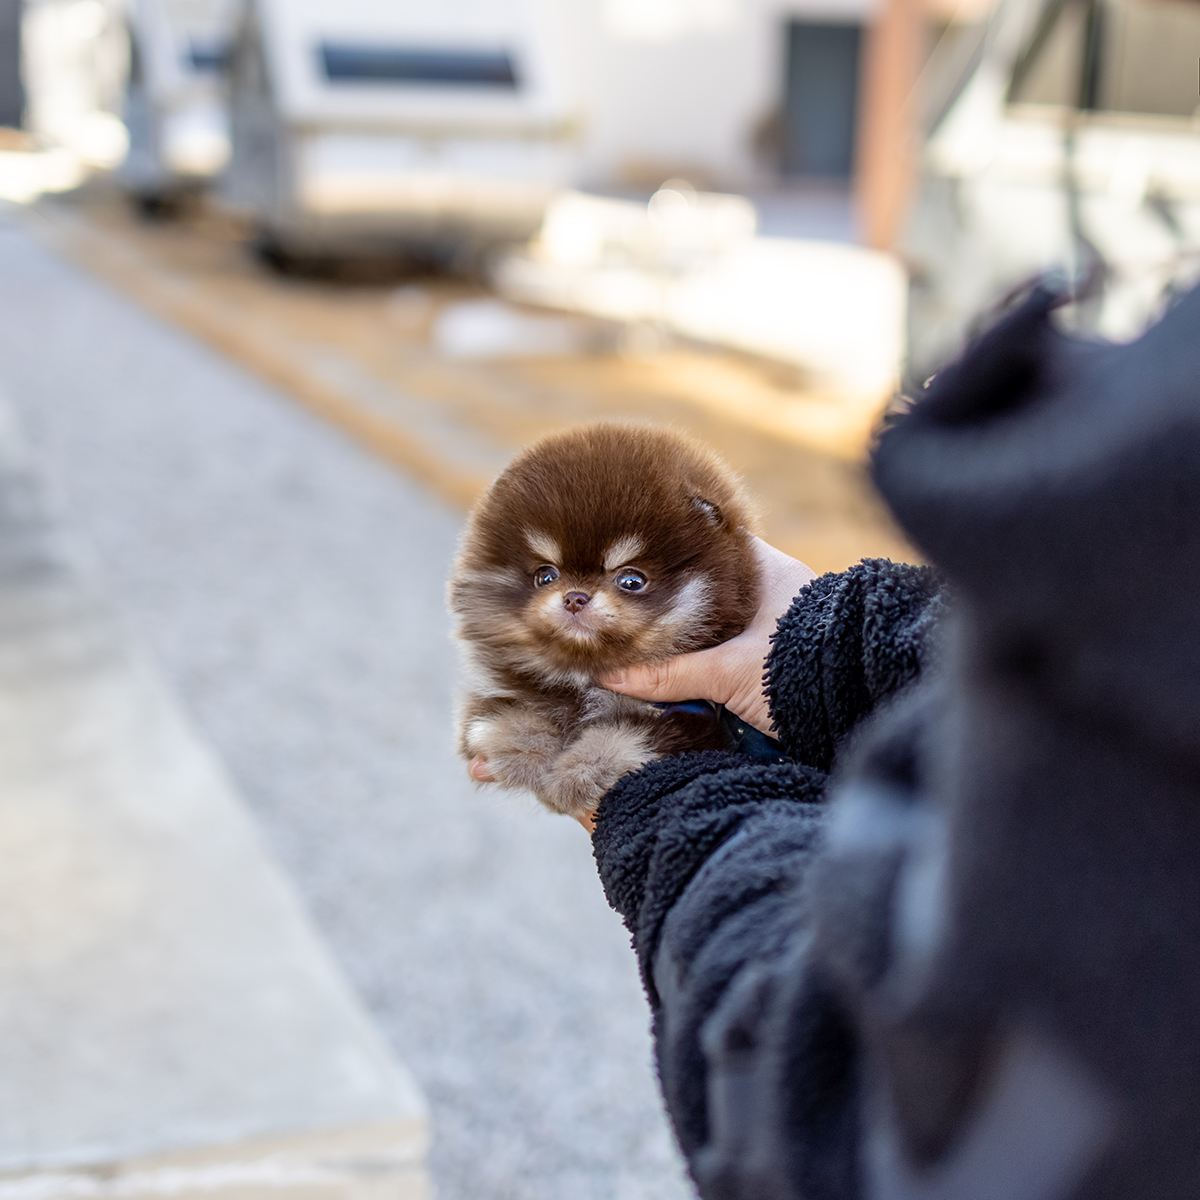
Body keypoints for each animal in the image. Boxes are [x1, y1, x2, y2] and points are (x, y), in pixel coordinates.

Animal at [451, 420, 758, 816]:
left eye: (631, 580)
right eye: (545, 576)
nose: (574, 597)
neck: (586, 675)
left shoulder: (693, 721)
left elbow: (627, 737)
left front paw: (579, 772)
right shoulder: (506, 686)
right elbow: (502, 712)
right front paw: (521, 750)